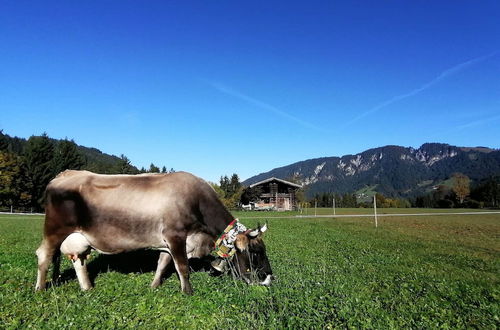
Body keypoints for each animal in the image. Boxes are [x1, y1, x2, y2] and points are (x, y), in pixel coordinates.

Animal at [34, 170, 274, 294]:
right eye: (255, 252)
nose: (268, 279)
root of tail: (65, 174)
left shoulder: (168, 243)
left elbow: (162, 264)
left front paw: (154, 286)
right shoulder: (176, 236)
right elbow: (182, 267)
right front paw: (188, 292)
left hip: (77, 238)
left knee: (78, 260)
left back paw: (87, 288)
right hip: (54, 231)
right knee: (44, 255)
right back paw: (40, 288)